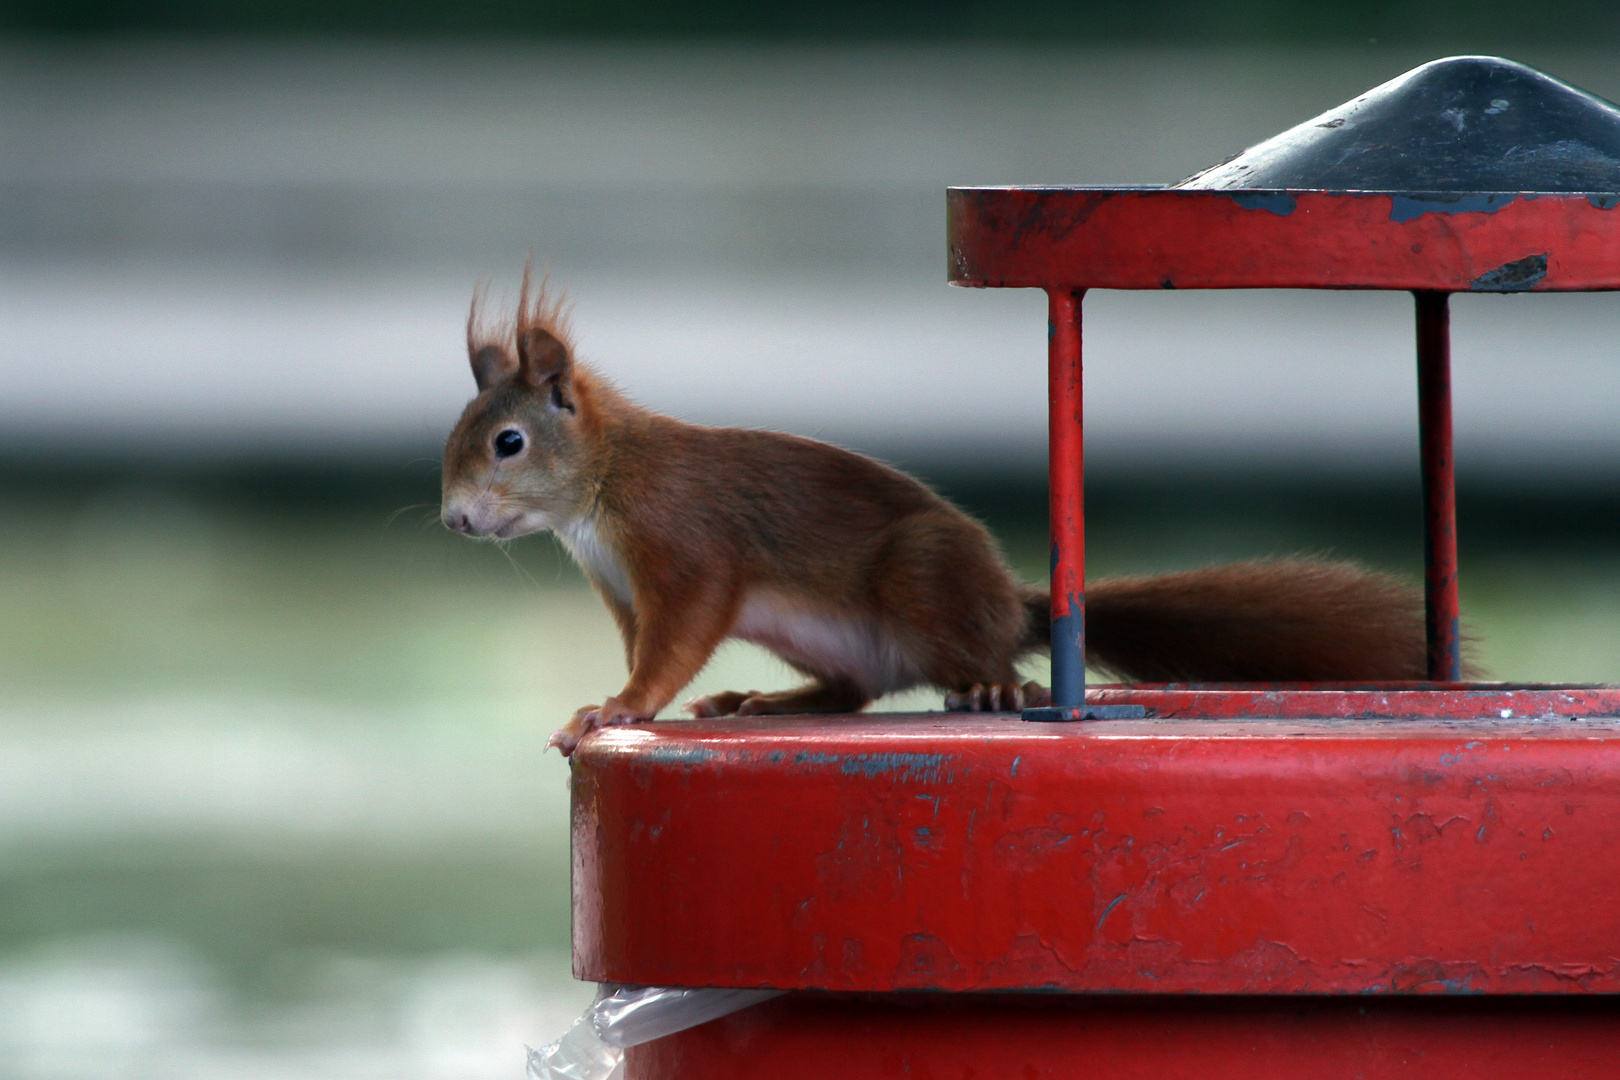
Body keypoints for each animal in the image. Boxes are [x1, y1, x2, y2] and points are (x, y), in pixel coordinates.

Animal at [440, 275, 1432, 757]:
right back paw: (758, 698)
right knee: (852, 691)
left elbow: (673, 645)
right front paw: (622, 700)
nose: (453, 521)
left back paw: (998, 689)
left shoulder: (686, 551)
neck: (603, 490)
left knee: (985, 666)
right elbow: (647, 643)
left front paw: (615, 707)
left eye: (508, 444)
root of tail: (1006, 603)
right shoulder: (622, 590)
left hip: (921, 578)